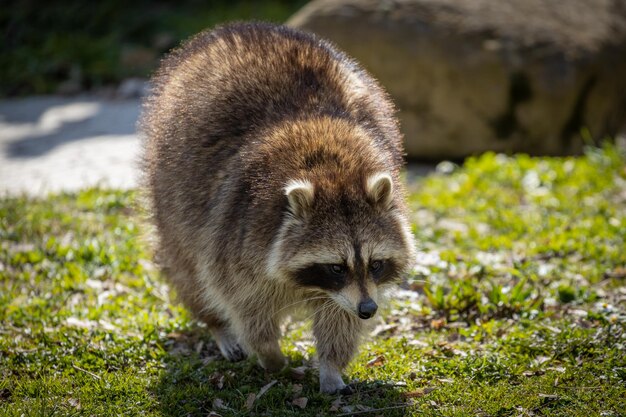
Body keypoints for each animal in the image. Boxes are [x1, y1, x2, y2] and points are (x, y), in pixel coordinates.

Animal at [141, 22, 414, 394]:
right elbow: (243, 302)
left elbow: (339, 318)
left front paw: (331, 366)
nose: (369, 310)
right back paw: (217, 325)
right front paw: (269, 353)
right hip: (172, 188)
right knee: (188, 269)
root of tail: (238, 28)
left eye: (375, 264)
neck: (332, 171)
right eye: (336, 267)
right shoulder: (239, 229)